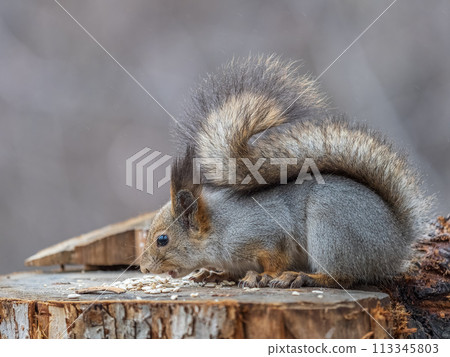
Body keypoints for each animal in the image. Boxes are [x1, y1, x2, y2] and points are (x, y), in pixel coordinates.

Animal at [141, 55, 432, 290]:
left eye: (162, 240)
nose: (143, 267)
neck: (219, 228)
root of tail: (396, 244)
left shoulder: (267, 233)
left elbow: (275, 258)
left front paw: (262, 276)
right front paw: (213, 274)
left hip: (332, 231)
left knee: (342, 276)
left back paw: (303, 277)